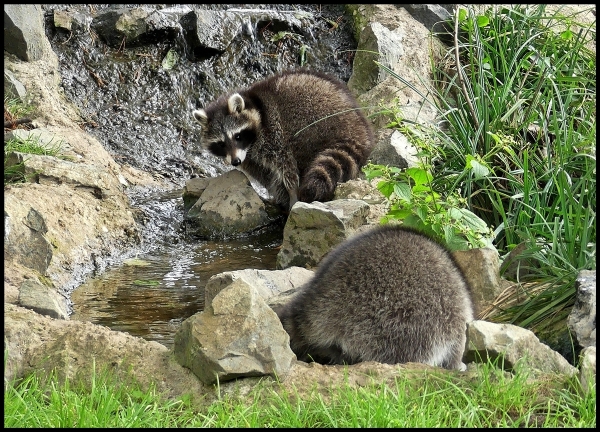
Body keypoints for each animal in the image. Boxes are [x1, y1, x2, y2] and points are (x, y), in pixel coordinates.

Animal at [192, 69, 376, 213]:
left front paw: (292, 197)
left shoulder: (274, 134)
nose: (235, 162)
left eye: (237, 136)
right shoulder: (249, 157)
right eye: (221, 144)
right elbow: (265, 174)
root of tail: (359, 127)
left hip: (314, 125)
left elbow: (286, 167)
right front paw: (280, 197)